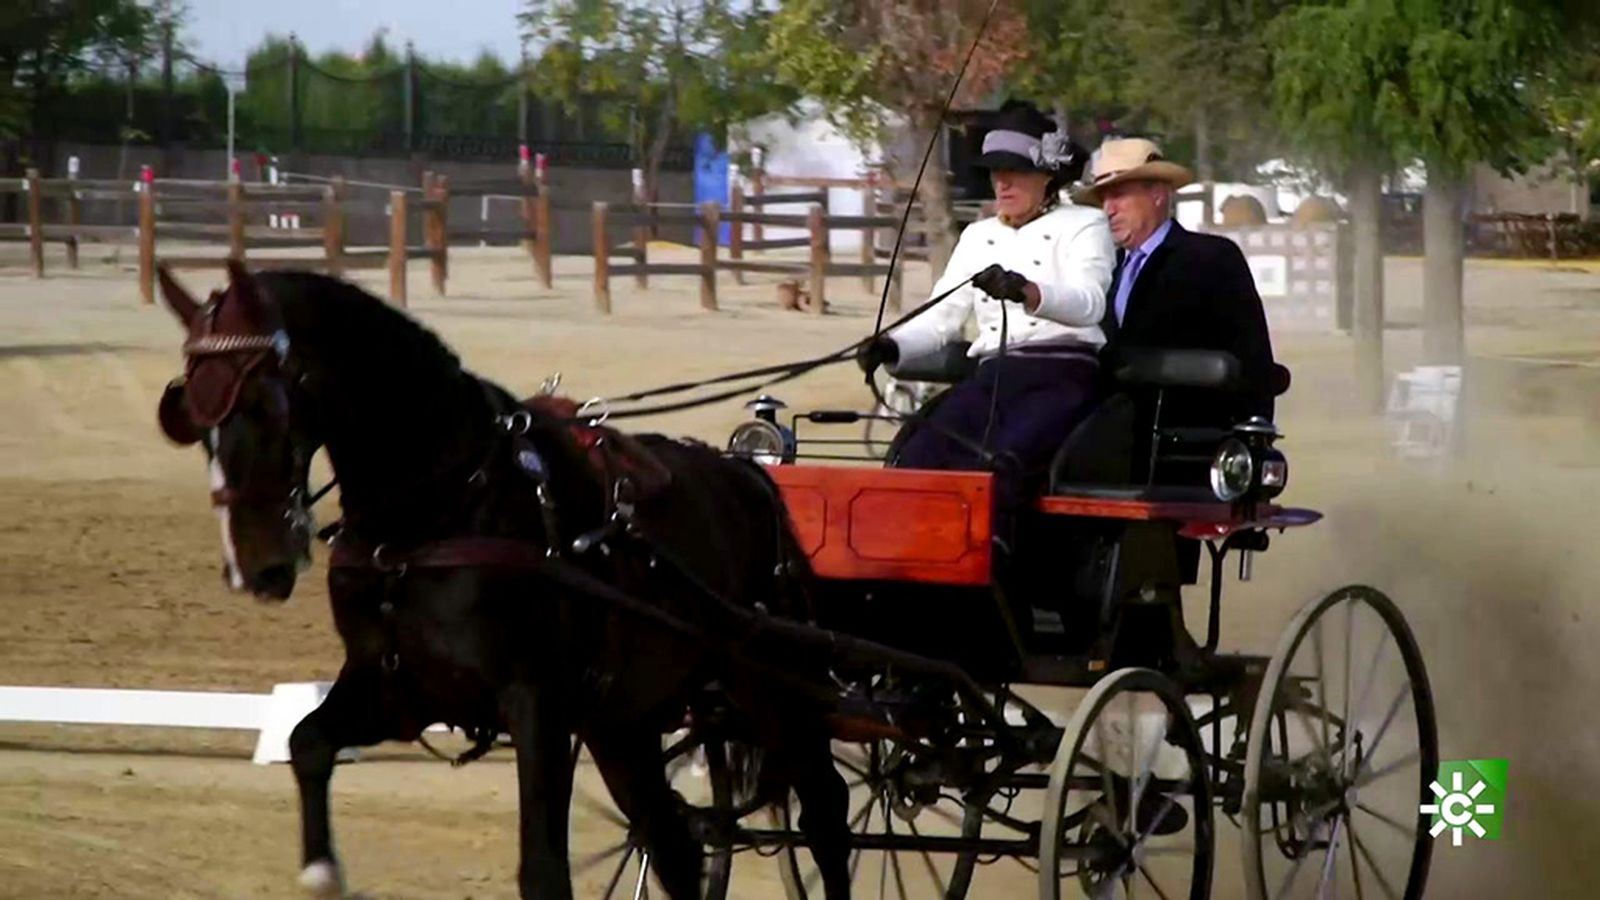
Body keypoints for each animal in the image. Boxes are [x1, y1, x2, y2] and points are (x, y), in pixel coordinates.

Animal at [153, 260, 853, 899]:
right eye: (192, 416)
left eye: (262, 403)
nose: (255, 565)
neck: (436, 513)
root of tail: (752, 474)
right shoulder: (396, 690)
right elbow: (307, 742)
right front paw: (323, 869)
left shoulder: (538, 706)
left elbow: (543, 871)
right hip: (624, 722)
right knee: (674, 846)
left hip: (773, 691)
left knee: (825, 810)